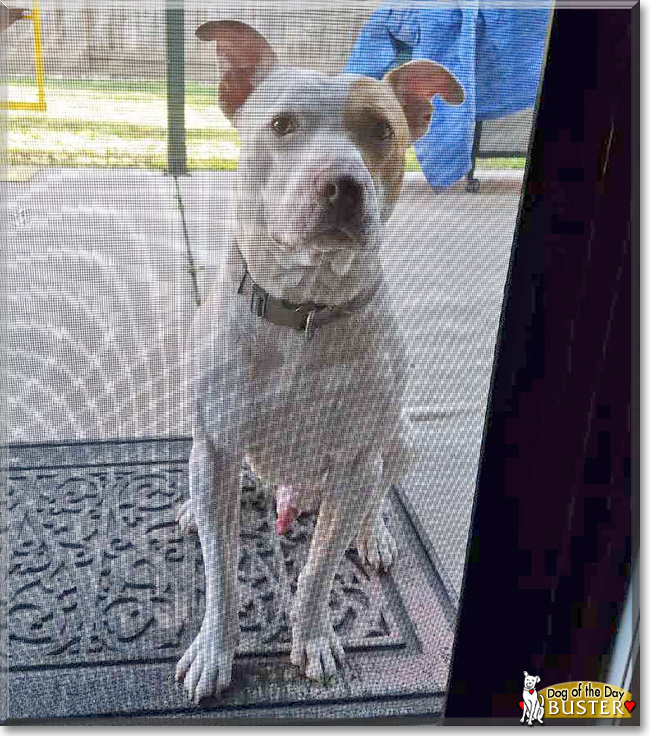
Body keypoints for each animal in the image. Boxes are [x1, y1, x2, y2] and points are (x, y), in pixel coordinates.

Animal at [175, 21, 464, 700]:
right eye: (281, 124)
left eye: (381, 129)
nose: (342, 186)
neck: (303, 311)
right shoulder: (219, 442)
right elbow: (223, 576)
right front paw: (214, 651)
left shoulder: (356, 458)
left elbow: (317, 572)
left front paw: (311, 639)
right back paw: (195, 510)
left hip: (399, 436)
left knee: (377, 490)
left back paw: (374, 533)